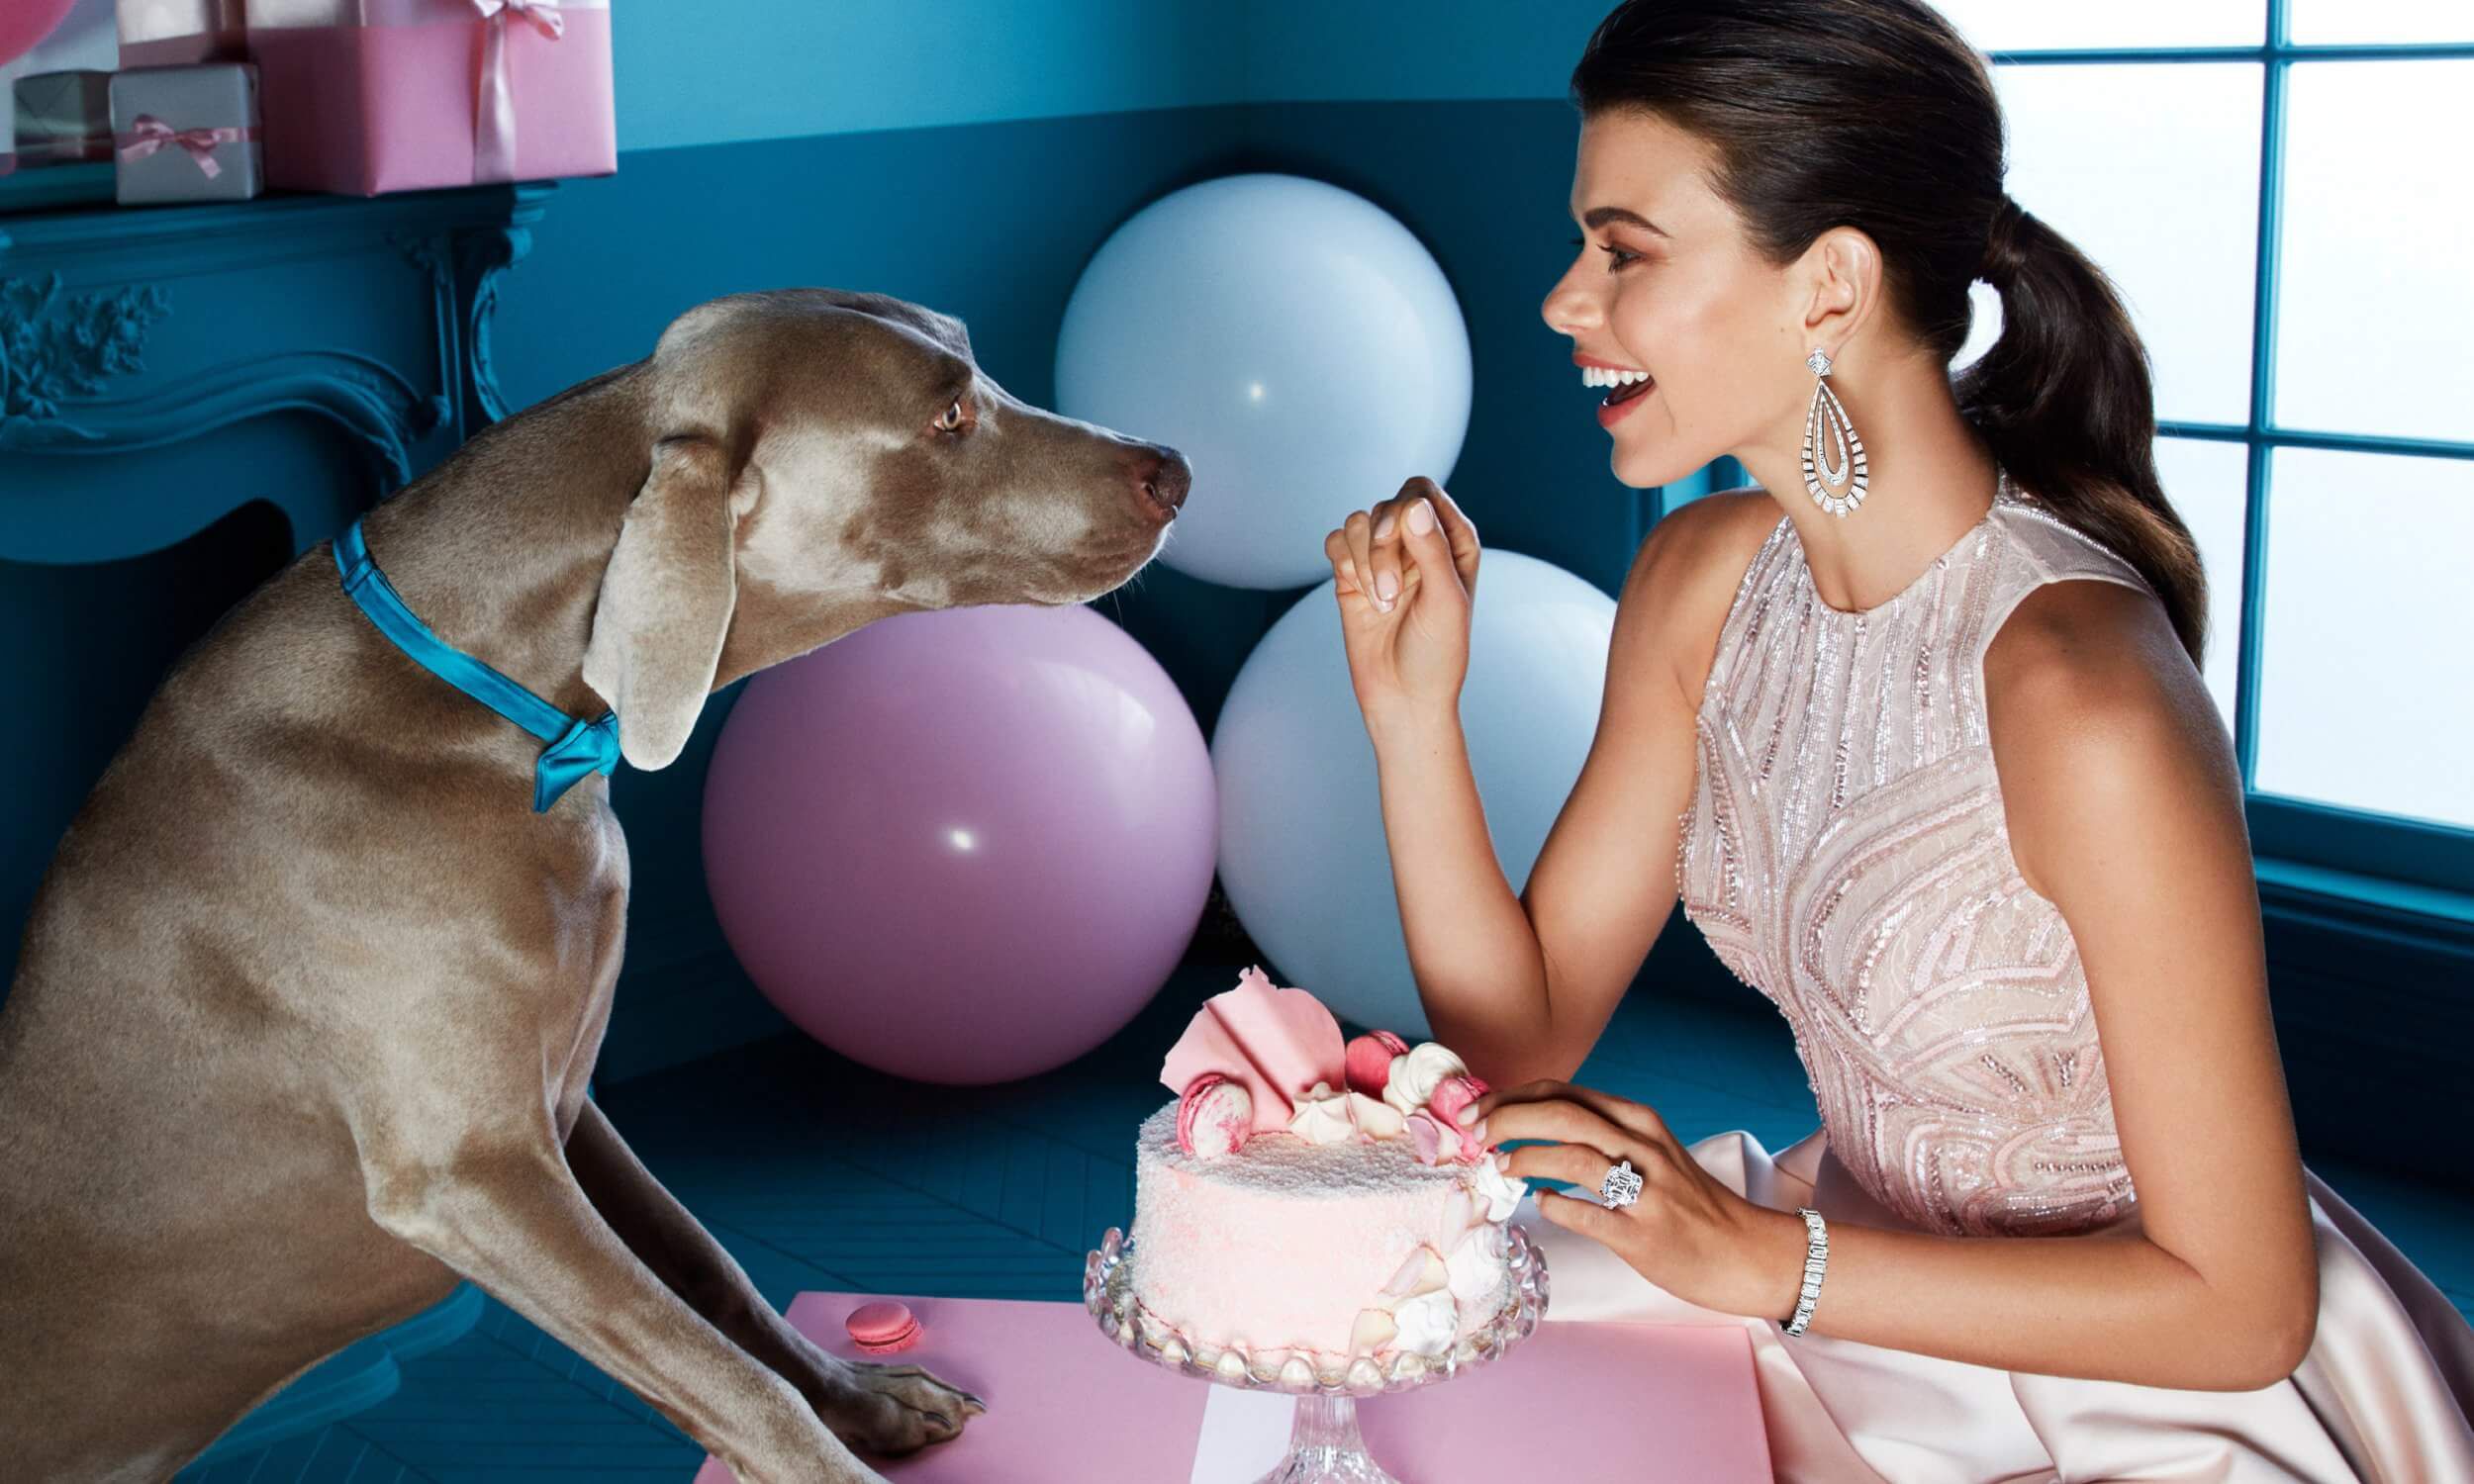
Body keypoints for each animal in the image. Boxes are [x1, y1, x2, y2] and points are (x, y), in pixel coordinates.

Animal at [0, 284, 1188, 1474]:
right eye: (947, 417)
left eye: (973, 365)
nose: (1173, 469)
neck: (486, 706)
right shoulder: (473, 1173)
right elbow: (721, 1371)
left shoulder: (570, 1114)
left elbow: (714, 1273)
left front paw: (863, 1396)